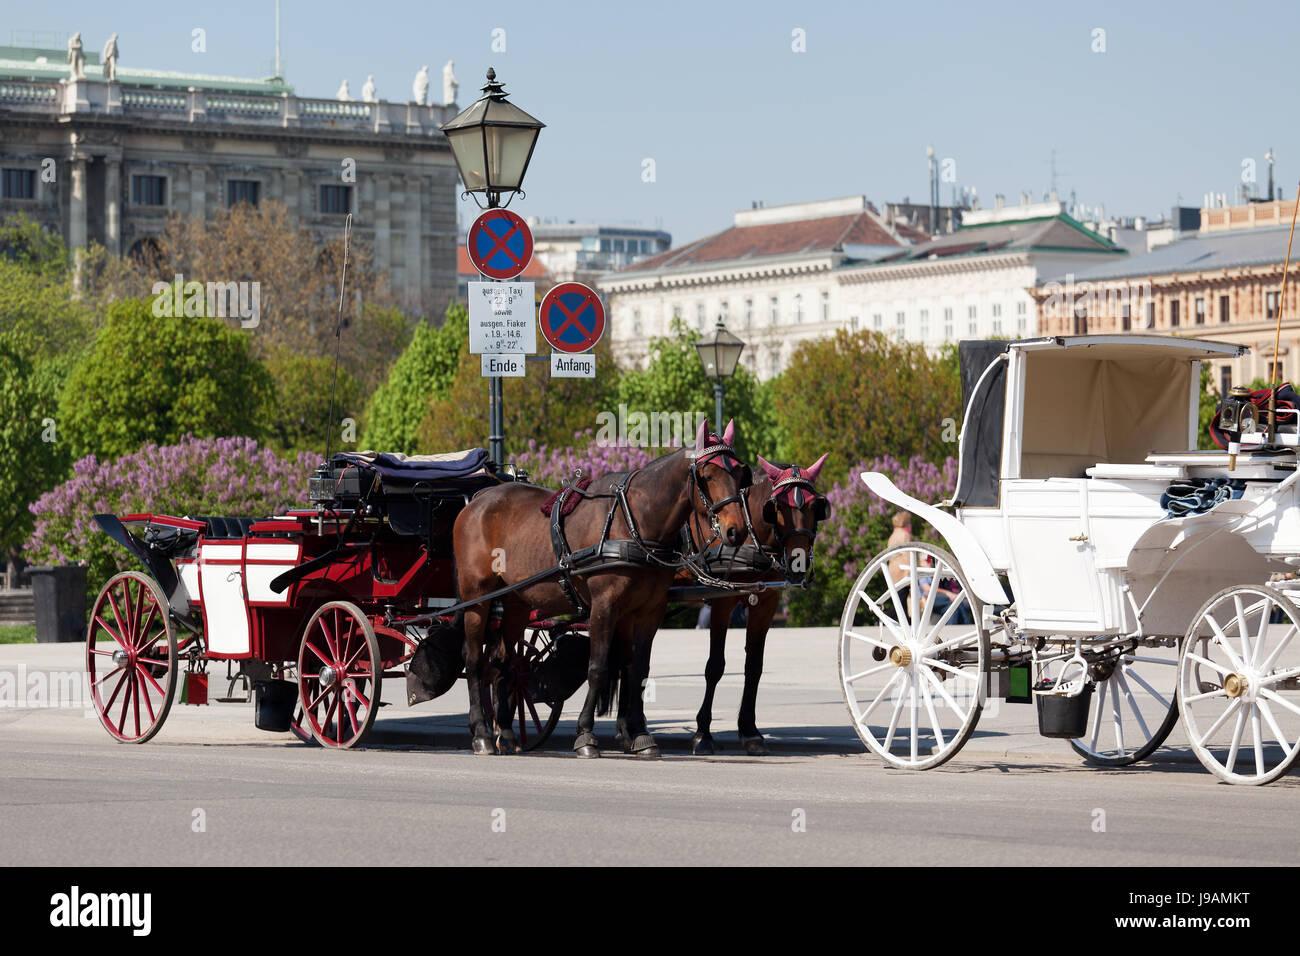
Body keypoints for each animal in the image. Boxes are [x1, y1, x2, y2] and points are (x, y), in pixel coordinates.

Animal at [451, 418, 751, 758]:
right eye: (708, 475)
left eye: (740, 474)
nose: (736, 531)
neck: (633, 522)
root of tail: (478, 500)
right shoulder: (605, 607)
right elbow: (598, 668)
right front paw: (585, 735)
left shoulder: (648, 611)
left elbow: (639, 670)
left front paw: (641, 735)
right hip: (477, 596)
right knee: (474, 659)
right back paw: (482, 733)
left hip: (515, 601)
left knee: (504, 661)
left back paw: (505, 731)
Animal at [688, 453, 830, 756]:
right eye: (776, 508)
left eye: (817, 507)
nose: (798, 563)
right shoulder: (722, 602)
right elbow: (715, 665)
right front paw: (703, 732)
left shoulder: (765, 603)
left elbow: (754, 666)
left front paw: (749, 730)